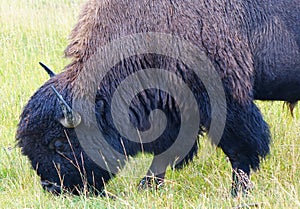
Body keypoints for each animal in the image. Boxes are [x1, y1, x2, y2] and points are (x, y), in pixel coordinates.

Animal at [17, 0, 300, 198]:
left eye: (59, 144)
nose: (52, 188)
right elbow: (167, 150)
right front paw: (148, 186)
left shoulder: (225, 100)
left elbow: (240, 150)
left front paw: (237, 193)